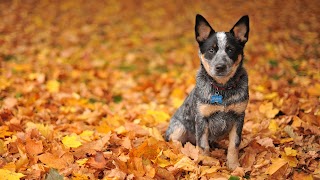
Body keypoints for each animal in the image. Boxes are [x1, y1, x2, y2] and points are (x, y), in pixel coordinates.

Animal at [166, 14, 251, 170]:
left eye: (230, 50)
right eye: (211, 50)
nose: (220, 66)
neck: (222, 89)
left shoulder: (239, 117)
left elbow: (234, 144)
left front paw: (234, 166)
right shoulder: (202, 119)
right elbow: (203, 146)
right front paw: (207, 165)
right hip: (178, 129)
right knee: (176, 143)